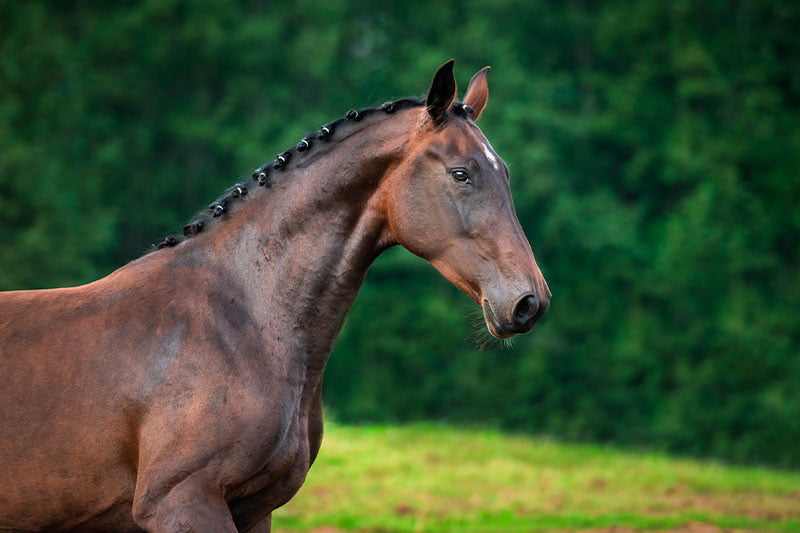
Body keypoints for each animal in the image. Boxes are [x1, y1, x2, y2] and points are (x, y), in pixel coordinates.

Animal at [0, 62, 552, 532]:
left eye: (504, 173)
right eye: (461, 173)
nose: (530, 302)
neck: (245, 323)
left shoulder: (254, 510)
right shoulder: (181, 503)